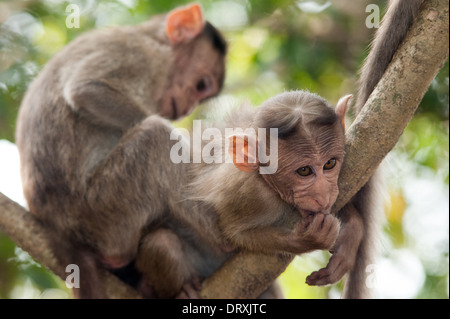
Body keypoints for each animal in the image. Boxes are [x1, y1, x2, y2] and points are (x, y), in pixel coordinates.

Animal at [15, 3, 227, 300]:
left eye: (202, 94)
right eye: (201, 85)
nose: (187, 109)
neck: (150, 37)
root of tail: (58, 229)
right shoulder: (142, 54)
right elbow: (88, 90)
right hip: (101, 210)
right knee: (157, 137)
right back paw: (226, 242)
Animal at [135, 90, 354, 300]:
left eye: (330, 164)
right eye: (304, 171)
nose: (324, 195)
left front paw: (348, 243)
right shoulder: (249, 194)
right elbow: (235, 233)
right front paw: (307, 239)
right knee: (162, 243)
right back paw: (178, 290)